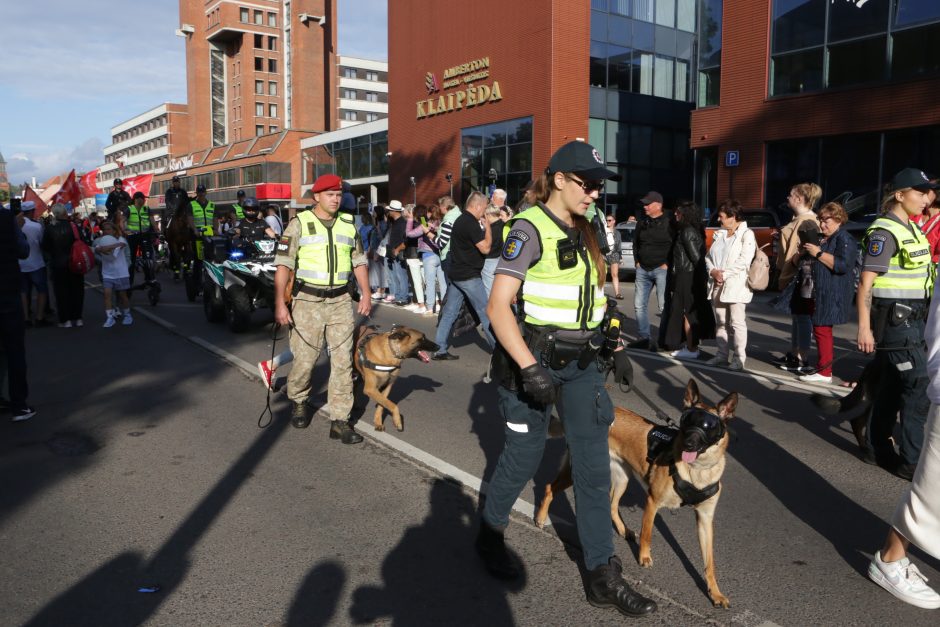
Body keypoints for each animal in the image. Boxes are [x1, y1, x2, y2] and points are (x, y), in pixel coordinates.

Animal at [532, 378, 740, 608]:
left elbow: (710, 563)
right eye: (686, 421)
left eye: (708, 426)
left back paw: (624, 530)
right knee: (549, 488)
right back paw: (540, 518)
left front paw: (715, 592)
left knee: (612, 505)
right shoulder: (652, 502)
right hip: (577, 472)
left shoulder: (705, 519)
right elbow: (648, 534)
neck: (697, 470)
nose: (689, 443)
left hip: (622, 478)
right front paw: (644, 557)